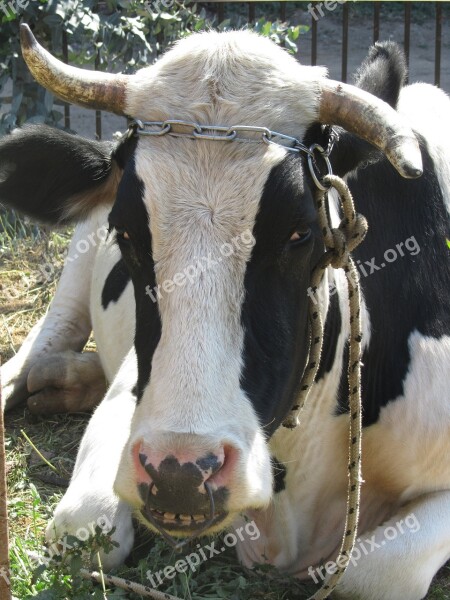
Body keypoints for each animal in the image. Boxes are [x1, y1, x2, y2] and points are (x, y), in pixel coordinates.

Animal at [0, 24, 450, 600]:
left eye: (301, 233)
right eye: (126, 233)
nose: (180, 474)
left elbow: (370, 573)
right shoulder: (135, 391)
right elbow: (85, 528)